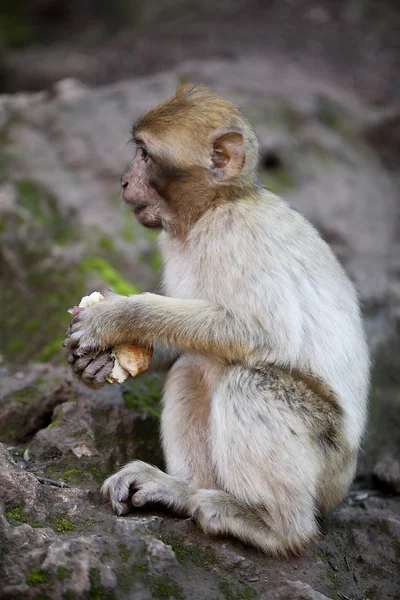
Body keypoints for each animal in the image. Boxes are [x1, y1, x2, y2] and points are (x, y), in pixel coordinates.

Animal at [64, 82, 370, 556]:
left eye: (145, 155)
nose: (124, 180)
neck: (215, 207)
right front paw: (98, 363)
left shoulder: (234, 235)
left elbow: (261, 333)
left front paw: (116, 316)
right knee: (192, 367)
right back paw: (183, 490)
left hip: (329, 462)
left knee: (249, 381)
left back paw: (273, 527)